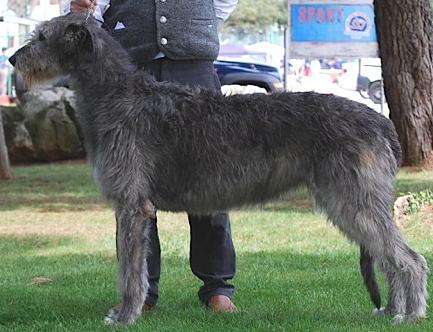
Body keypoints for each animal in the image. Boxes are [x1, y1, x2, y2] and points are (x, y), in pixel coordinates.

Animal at [11, 13, 428, 324]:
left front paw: (126, 314)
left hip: (353, 198)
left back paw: (412, 315)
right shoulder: (132, 207)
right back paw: (392, 310)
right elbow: (134, 266)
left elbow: (129, 271)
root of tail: (381, 121)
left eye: (42, 36)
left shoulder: (132, 206)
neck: (117, 94)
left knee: (410, 259)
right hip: (351, 201)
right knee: (389, 258)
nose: (14, 59)